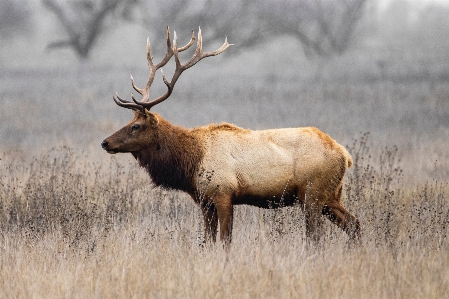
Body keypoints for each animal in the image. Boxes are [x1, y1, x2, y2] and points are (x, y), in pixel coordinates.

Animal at [101, 27, 360, 247]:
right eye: (129, 122)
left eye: (136, 126)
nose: (105, 142)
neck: (190, 163)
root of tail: (345, 156)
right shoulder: (204, 201)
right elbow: (208, 242)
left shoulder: (223, 193)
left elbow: (225, 241)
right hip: (330, 196)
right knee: (354, 224)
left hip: (312, 193)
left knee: (316, 236)